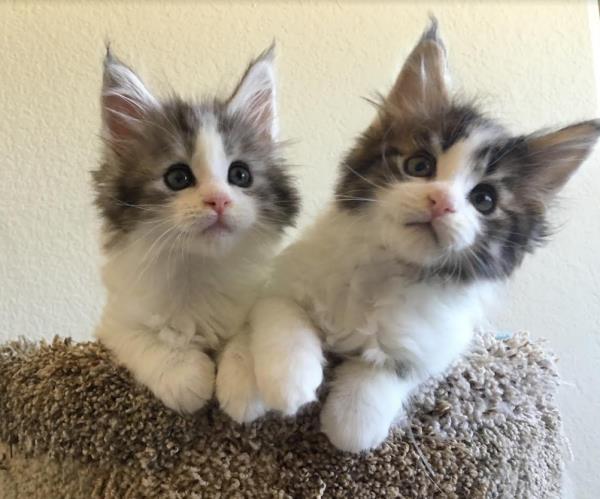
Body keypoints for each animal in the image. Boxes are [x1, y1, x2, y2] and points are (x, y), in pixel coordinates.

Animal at [94, 47, 300, 416]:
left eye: (240, 175)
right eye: (178, 177)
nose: (218, 200)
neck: (197, 270)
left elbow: (245, 333)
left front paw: (244, 383)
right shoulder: (113, 320)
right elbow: (141, 336)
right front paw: (184, 375)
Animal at [239, 22, 600, 454]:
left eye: (484, 199)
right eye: (419, 165)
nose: (441, 201)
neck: (385, 268)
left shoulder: (437, 344)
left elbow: (386, 372)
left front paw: (352, 421)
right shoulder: (283, 280)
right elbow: (283, 318)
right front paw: (288, 383)